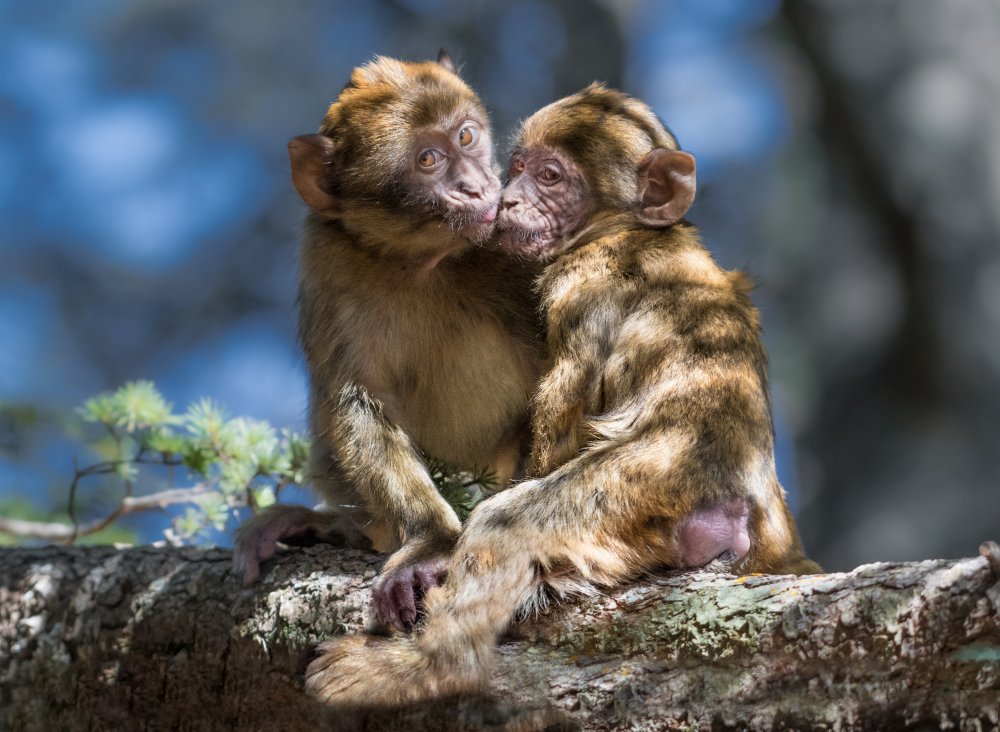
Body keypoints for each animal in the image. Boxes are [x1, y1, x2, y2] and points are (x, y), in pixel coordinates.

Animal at [232, 51, 544, 631]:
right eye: (428, 159)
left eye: (466, 136)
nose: (475, 185)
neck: (424, 263)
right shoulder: (327, 260)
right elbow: (359, 401)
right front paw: (431, 542)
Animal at [304, 83, 820, 707]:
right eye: (520, 167)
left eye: (551, 177)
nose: (507, 200)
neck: (625, 228)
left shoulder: (585, 286)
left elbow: (563, 411)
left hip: (639, 487)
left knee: (506, 523)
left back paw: (434, 666)